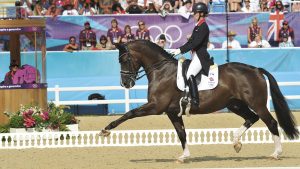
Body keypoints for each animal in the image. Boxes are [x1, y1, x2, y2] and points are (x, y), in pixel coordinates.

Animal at [99, 39, 298, 162]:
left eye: (124, 59)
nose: (125, 83)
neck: (161, 71)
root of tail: (256, 69)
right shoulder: (172, 112)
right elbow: (181, 133)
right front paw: (184, 156)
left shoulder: (156, 107)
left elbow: (129, 113)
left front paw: (105, 130)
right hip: (234, 104)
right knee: (252, 118)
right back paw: (236, 142)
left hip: (257, 103)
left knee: (271, 122)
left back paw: (276, 153)